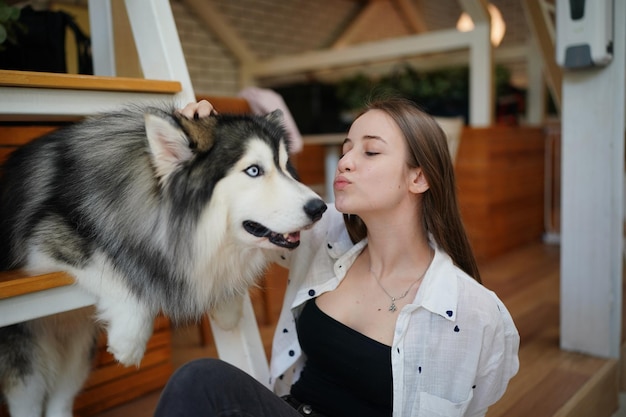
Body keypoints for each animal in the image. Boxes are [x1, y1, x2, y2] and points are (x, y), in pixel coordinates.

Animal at [1, 105, 326, 416]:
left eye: (285, 165)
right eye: (254, 170)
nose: (320, 207)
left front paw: (227, 302)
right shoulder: (44, 240)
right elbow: (113, 263)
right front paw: (130, 336)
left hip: (76, 356)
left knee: (61, 399)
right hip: (28, 364)